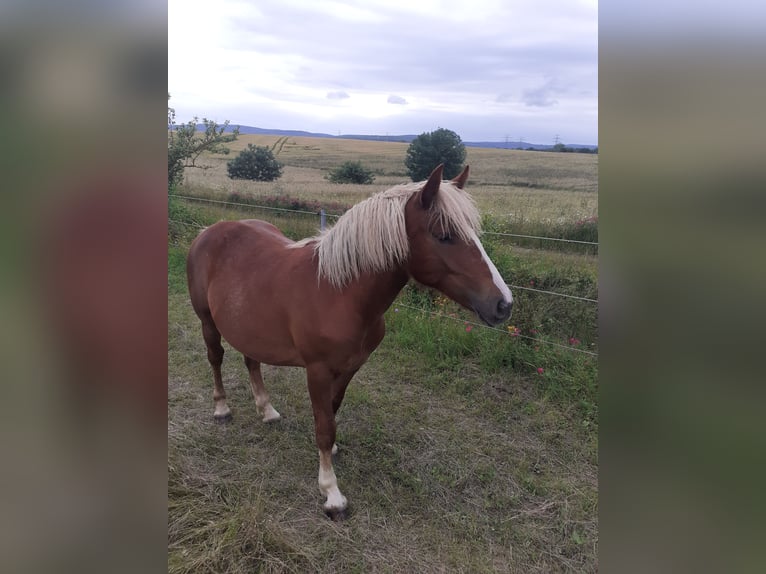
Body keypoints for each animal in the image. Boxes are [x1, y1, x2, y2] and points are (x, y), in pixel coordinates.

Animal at [186, 164, 512, 520]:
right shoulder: (317, 370)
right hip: (207, 321)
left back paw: (267, 410)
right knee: (215, 357)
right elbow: (324, 425)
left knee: (251, 360)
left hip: (251, 327)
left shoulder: (351, 367)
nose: (503, 304)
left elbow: (332, 410)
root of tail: (209, 231)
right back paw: (221, 408)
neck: (339, 292)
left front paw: (331, 452)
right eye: (443, 235)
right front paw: (332, 493)